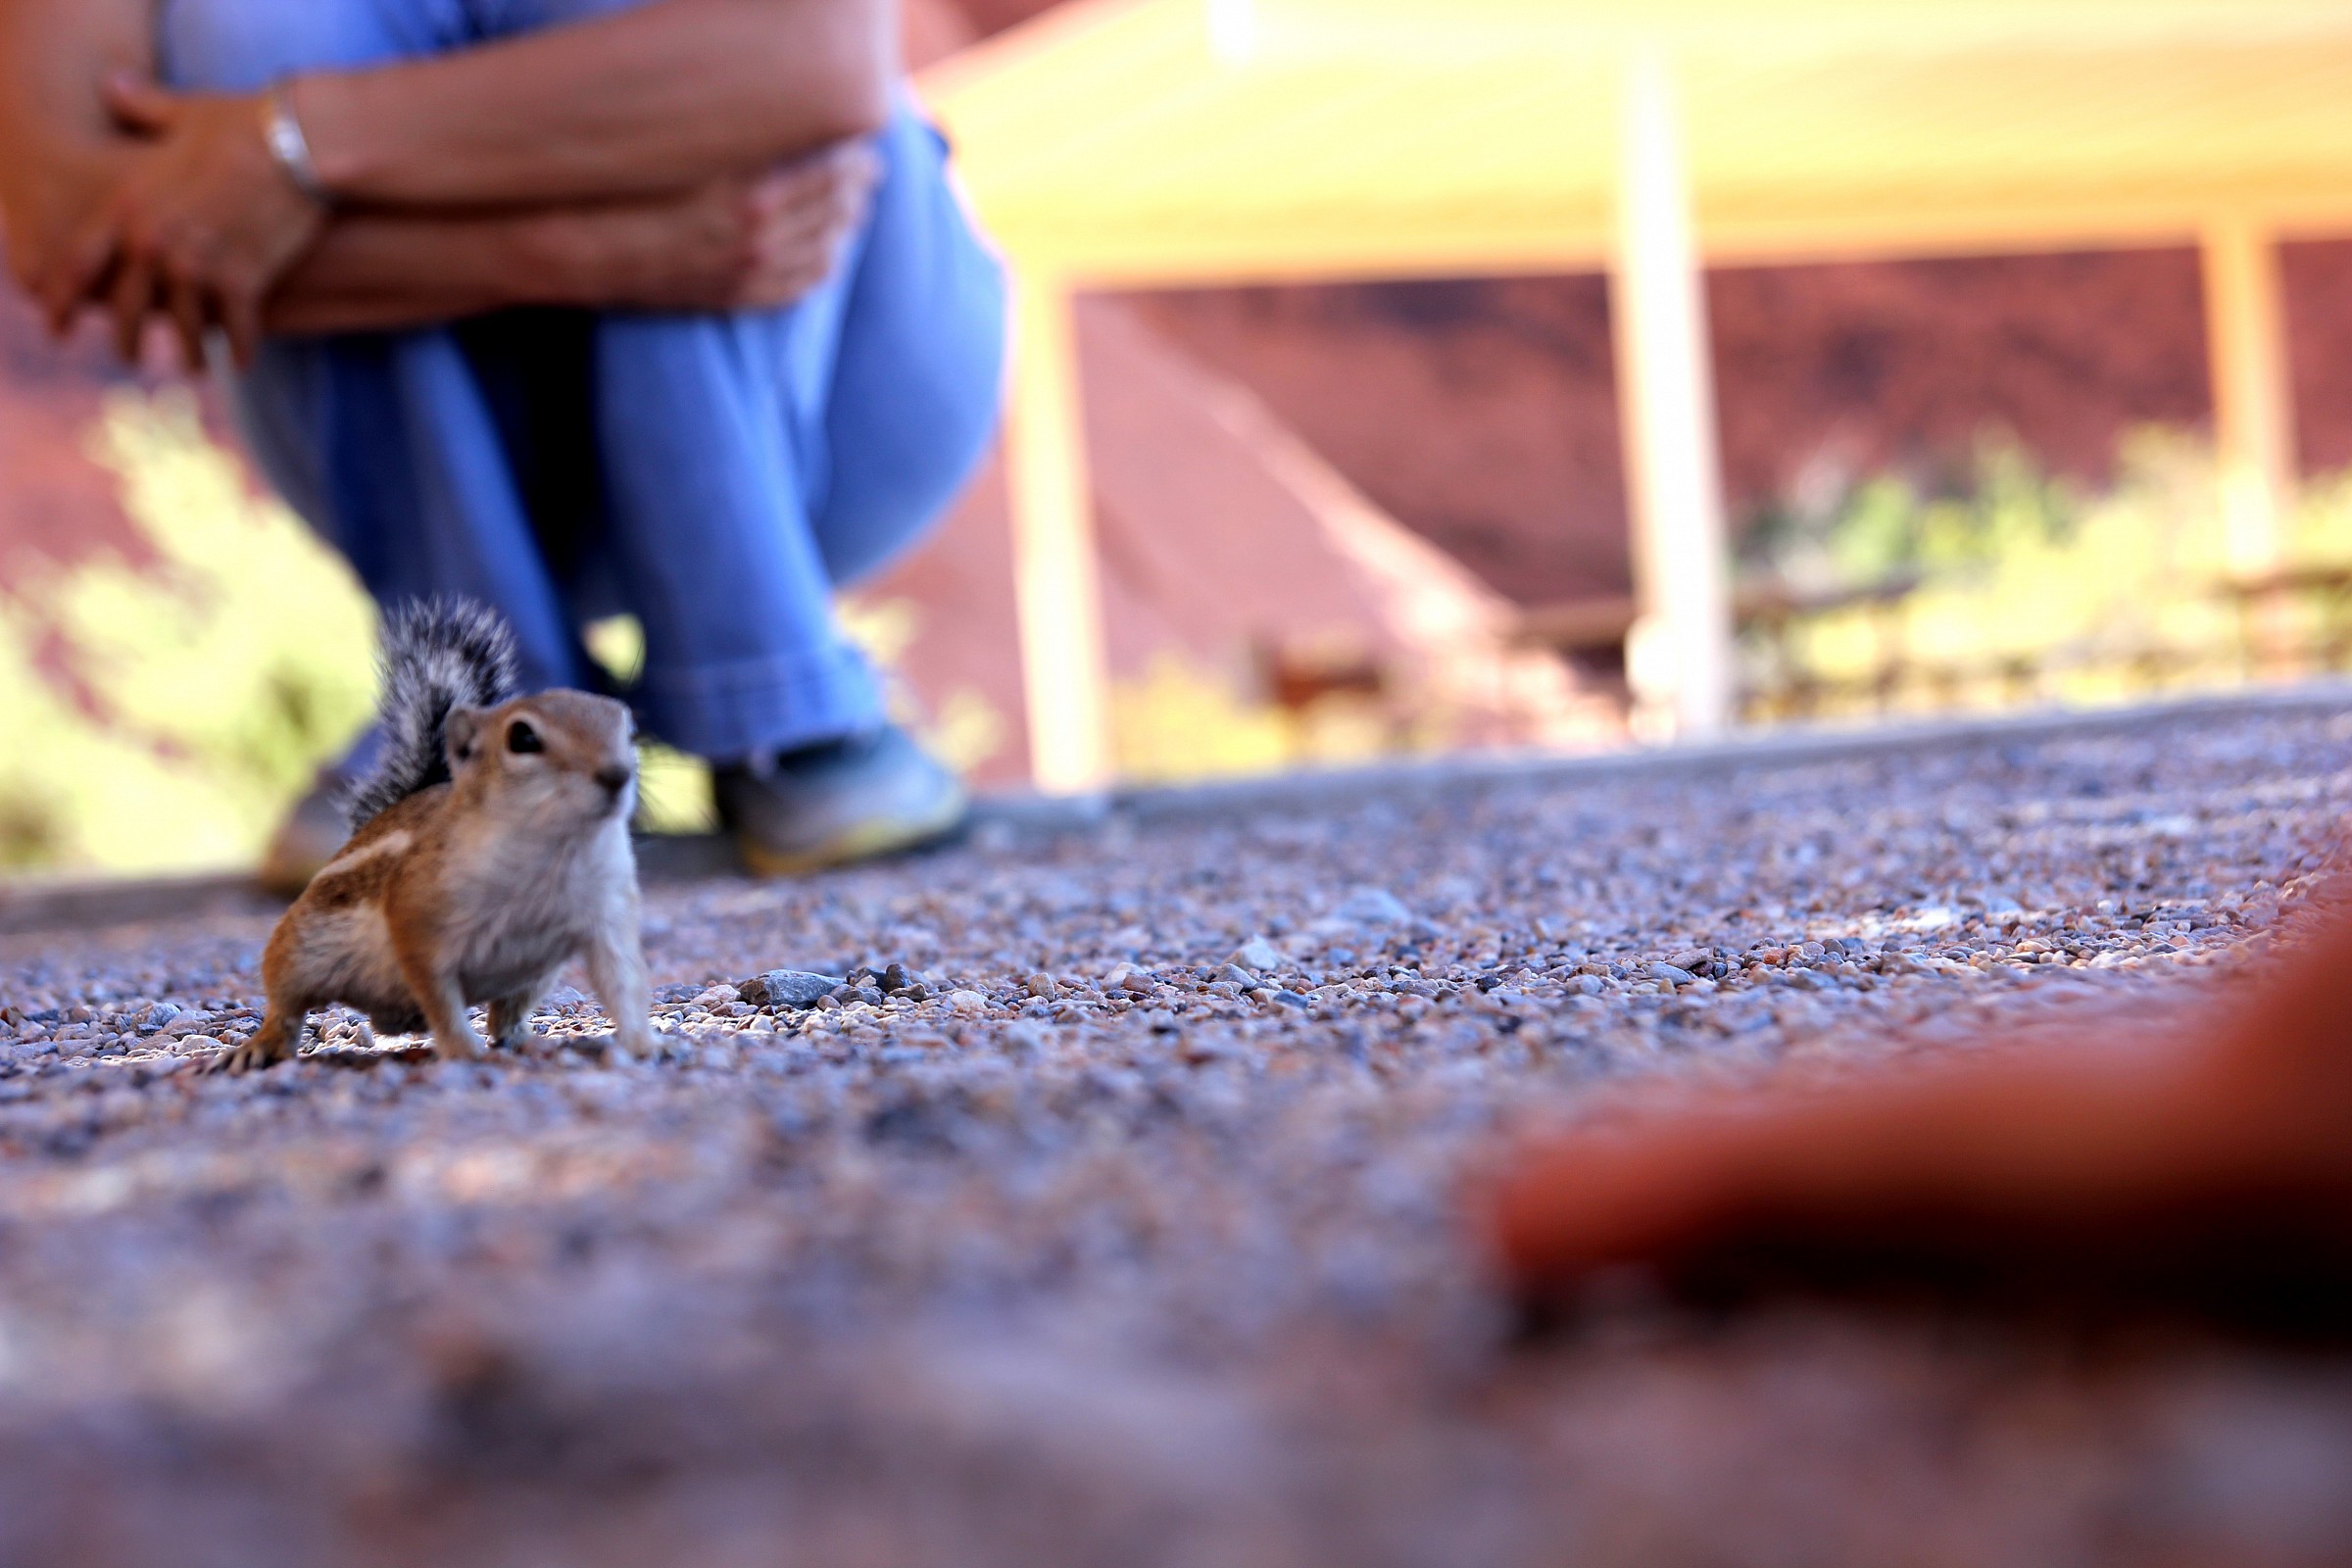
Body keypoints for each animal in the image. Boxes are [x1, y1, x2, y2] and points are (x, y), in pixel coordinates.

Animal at [218, 599, 657, 1071]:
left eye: (630, 731)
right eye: (522, 737)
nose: (617, 774)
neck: (554, 849)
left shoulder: (608, 915)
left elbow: (623, 983)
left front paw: (646, 1043)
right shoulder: (417, 920)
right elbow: (439, 996)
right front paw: (463, 1050)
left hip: (536, 974)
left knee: (504, 1015)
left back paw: (525, 1040)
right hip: (296, 949)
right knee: (286, 1007)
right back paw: (259, 1046)